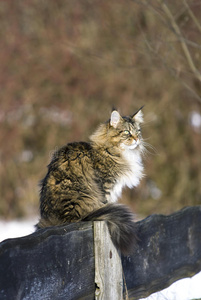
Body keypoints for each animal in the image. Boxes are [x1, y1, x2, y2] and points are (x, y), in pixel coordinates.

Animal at [36, 108, 146, 253]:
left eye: (138, 131)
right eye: (127, 132)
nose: (137, 139)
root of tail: (55, 221)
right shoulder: (106, 185)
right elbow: (106, 202)